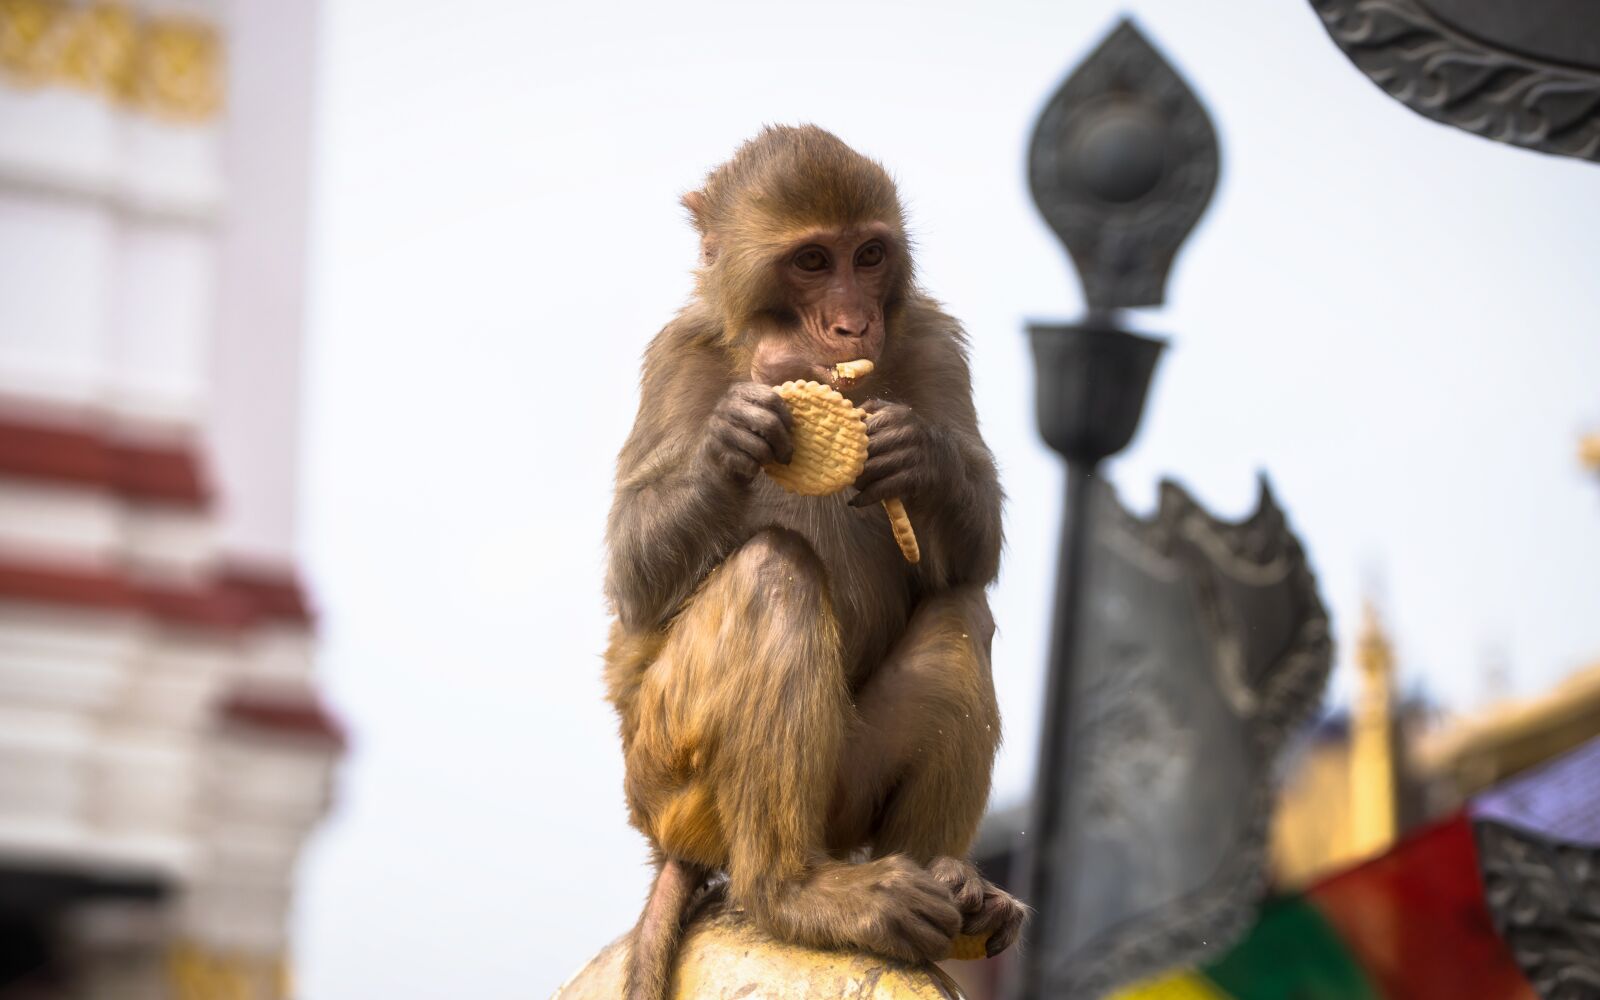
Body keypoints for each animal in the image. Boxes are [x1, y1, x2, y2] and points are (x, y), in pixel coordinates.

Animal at [601, 124, 1024, 998]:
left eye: (868, 255)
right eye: (810, 262)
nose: (852, 327)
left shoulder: (934, 342)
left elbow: (972, 556)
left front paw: (917, 455)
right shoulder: (676, 357)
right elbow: (634, 582)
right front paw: (728, 443)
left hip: (844, 791)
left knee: (960, 608)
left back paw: (952, 886)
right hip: (670, 776)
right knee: (774, 571)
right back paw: (790, 891)